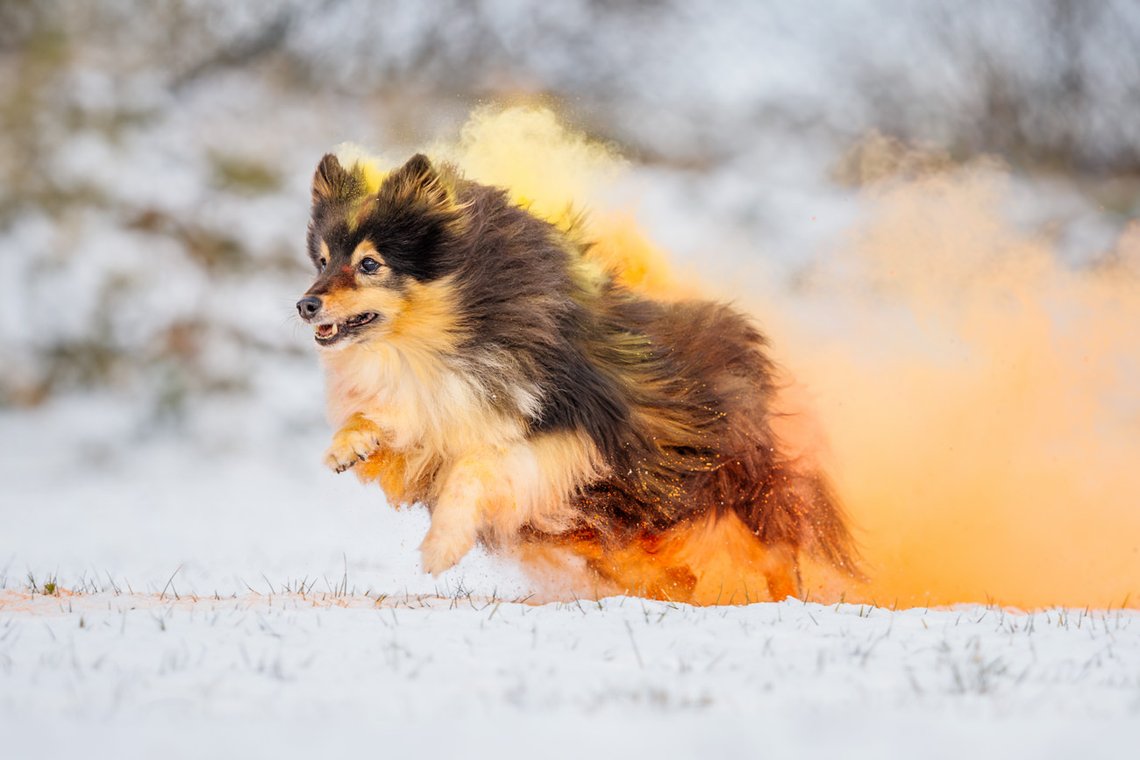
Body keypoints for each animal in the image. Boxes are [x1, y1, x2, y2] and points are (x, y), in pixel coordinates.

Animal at [294, 151, 857, 606]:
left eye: (370, 263)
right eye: (322, 260)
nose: (305, 304)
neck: (442, 341)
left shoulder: (568, 441)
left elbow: (476, 466)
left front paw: (439, 548)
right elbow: (394, 420)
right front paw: (348, 446)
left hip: (737, 480)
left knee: (776, 541)